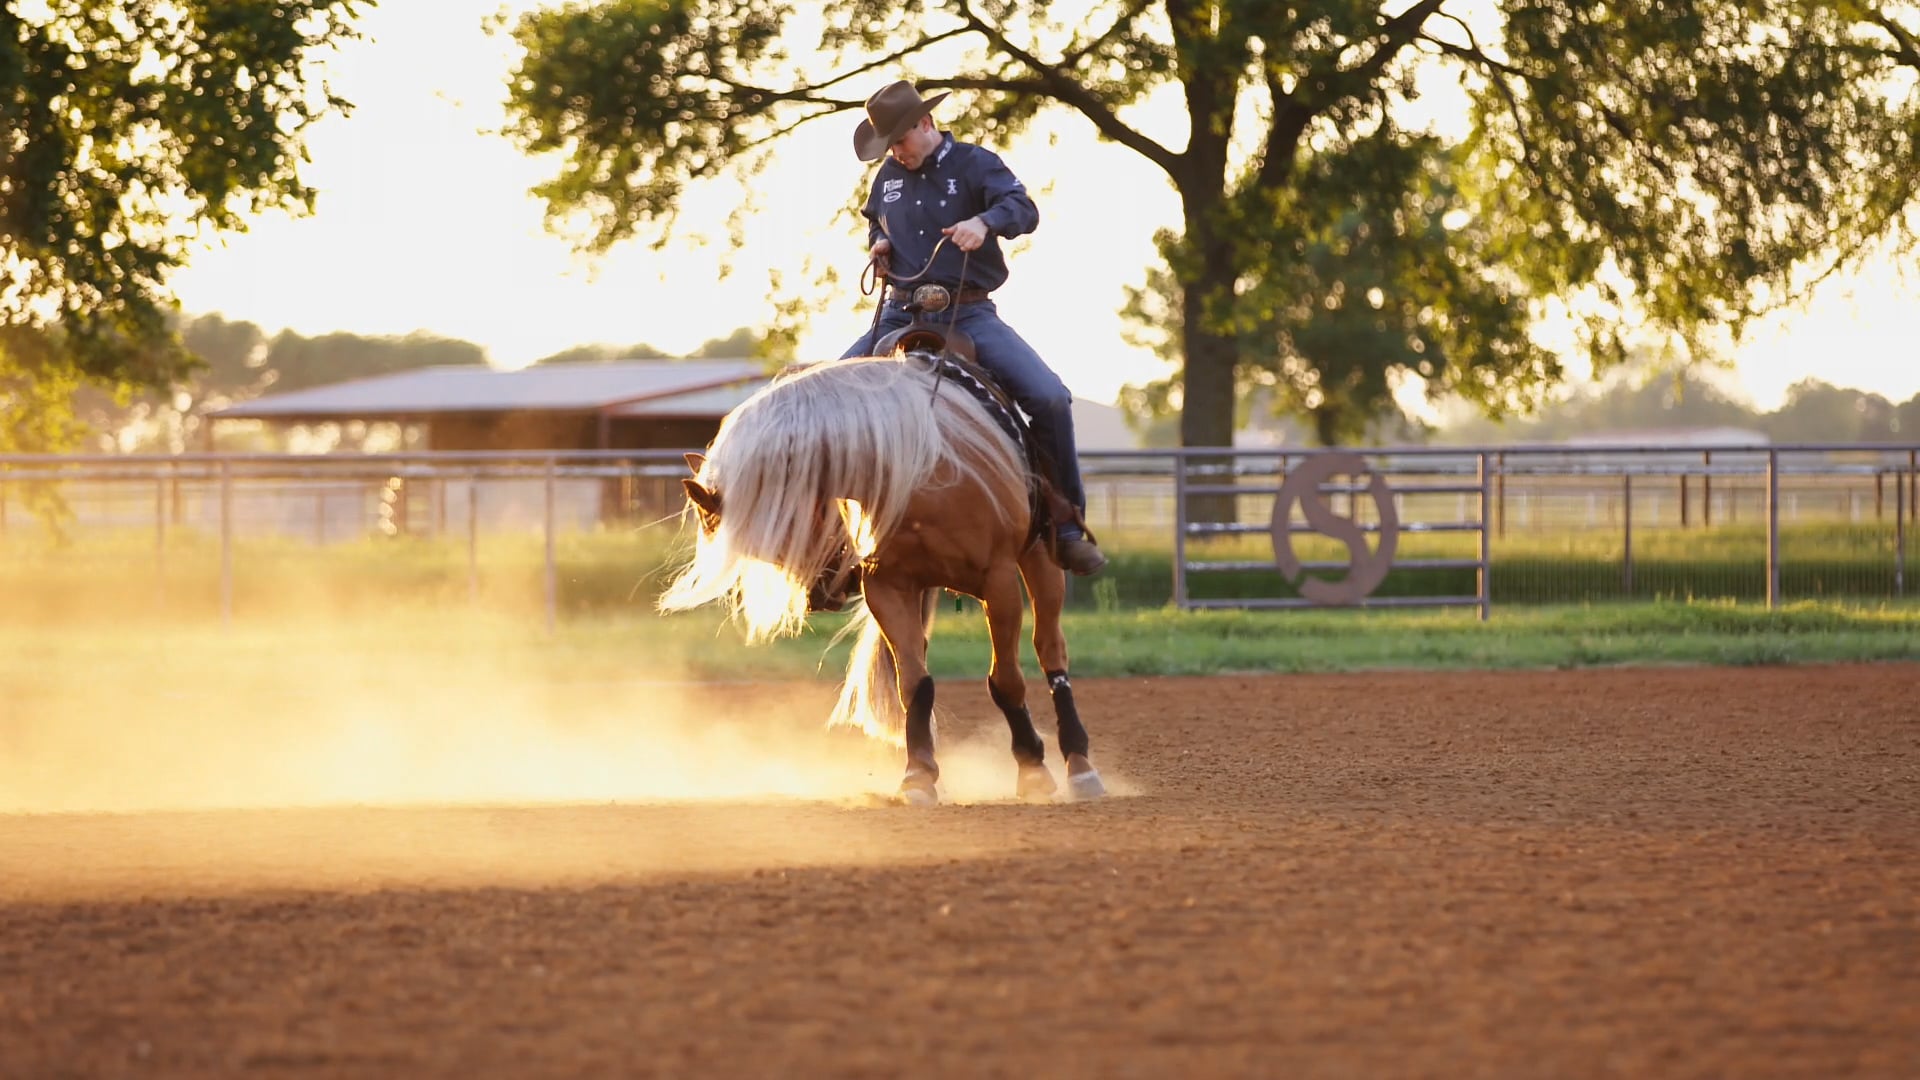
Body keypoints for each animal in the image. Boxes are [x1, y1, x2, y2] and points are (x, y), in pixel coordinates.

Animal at [657, 352, 1106, 806]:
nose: (820, 595)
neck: (921, 471)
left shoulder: (998, 585)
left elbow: (1007, 680)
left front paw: (1033, 768)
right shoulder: (889, 589)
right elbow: (915, 685)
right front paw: (919, 775)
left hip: (1041, 559)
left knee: (1051, 649)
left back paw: (1080, 766)